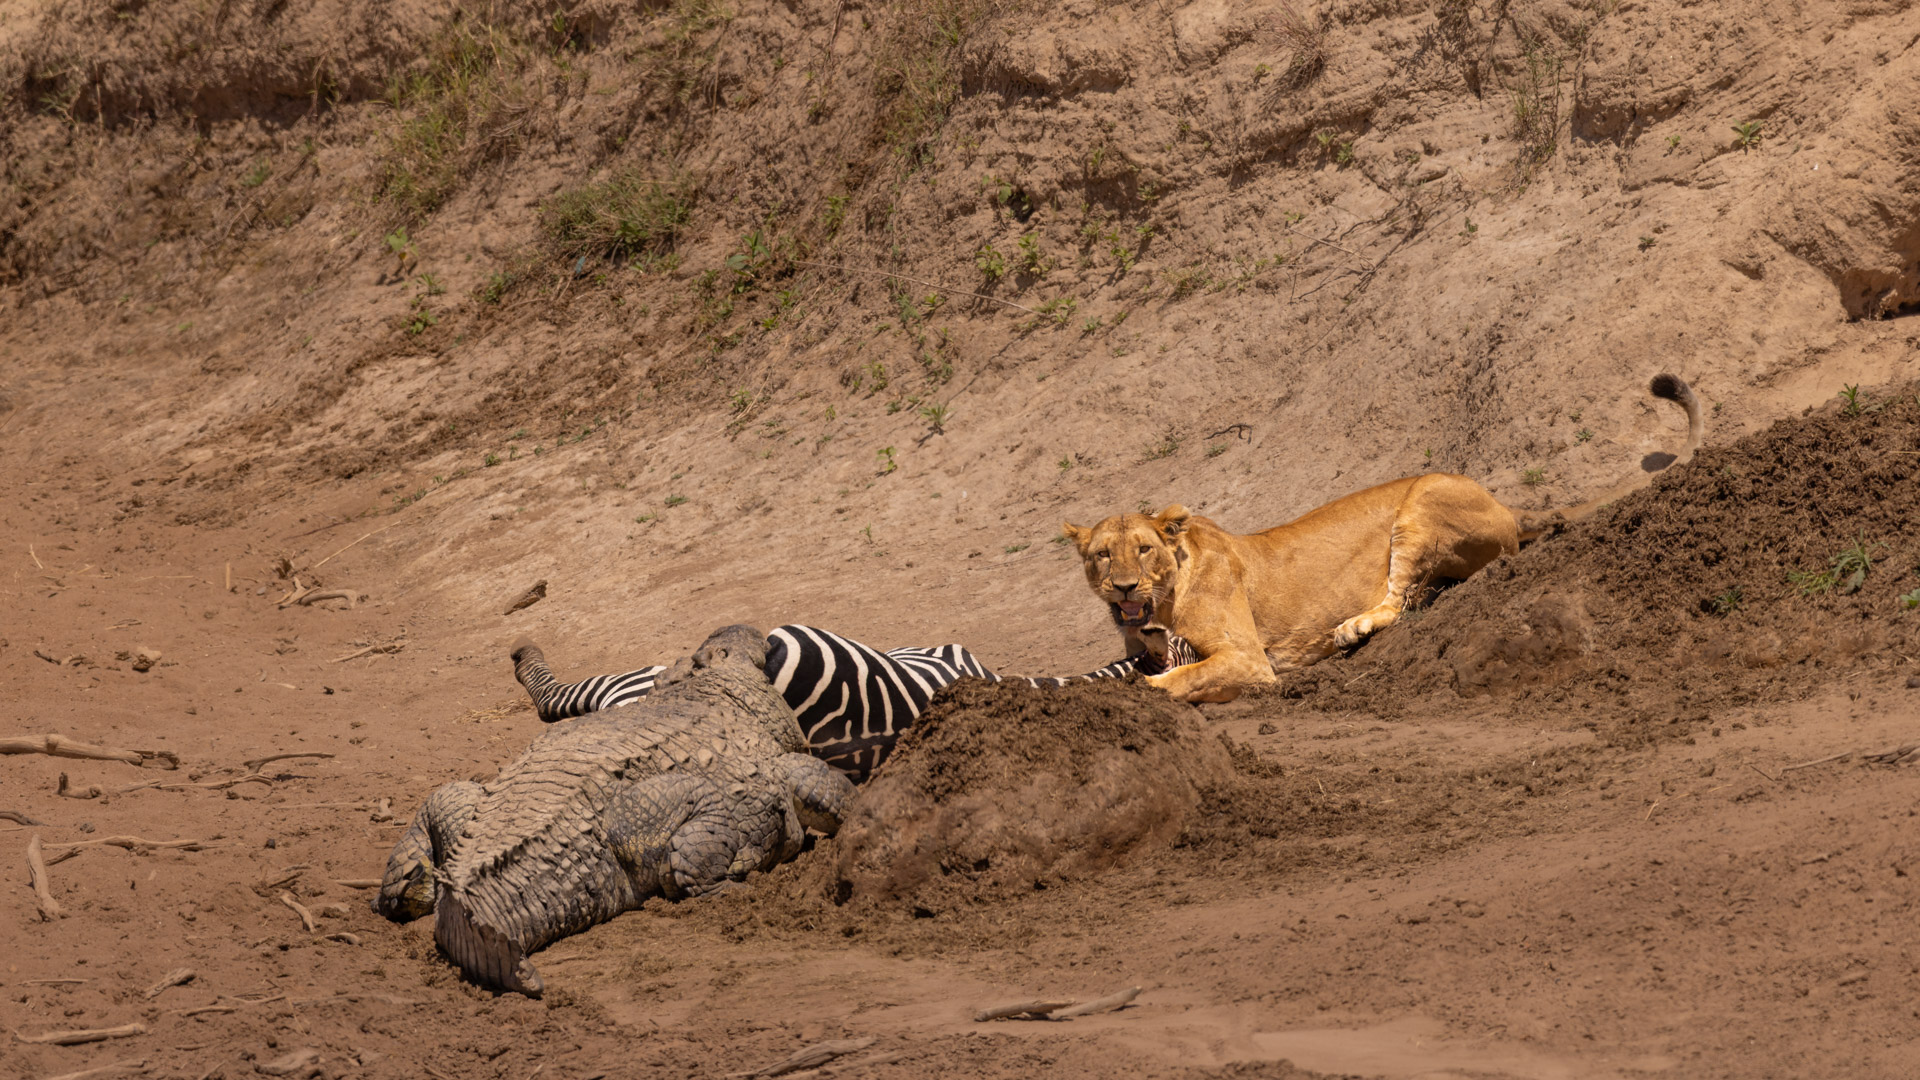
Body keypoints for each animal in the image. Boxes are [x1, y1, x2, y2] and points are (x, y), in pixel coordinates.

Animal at [1061, 375, 1703, 703]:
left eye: (1144, 549)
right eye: (1102, 555)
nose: (1123, 588)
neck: (1162, 602)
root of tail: (1505, 503)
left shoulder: (1247, 659)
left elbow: (1180, 679)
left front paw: (1142, 691)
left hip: (1422, 504)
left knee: (1402, 598)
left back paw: (1352, 628)